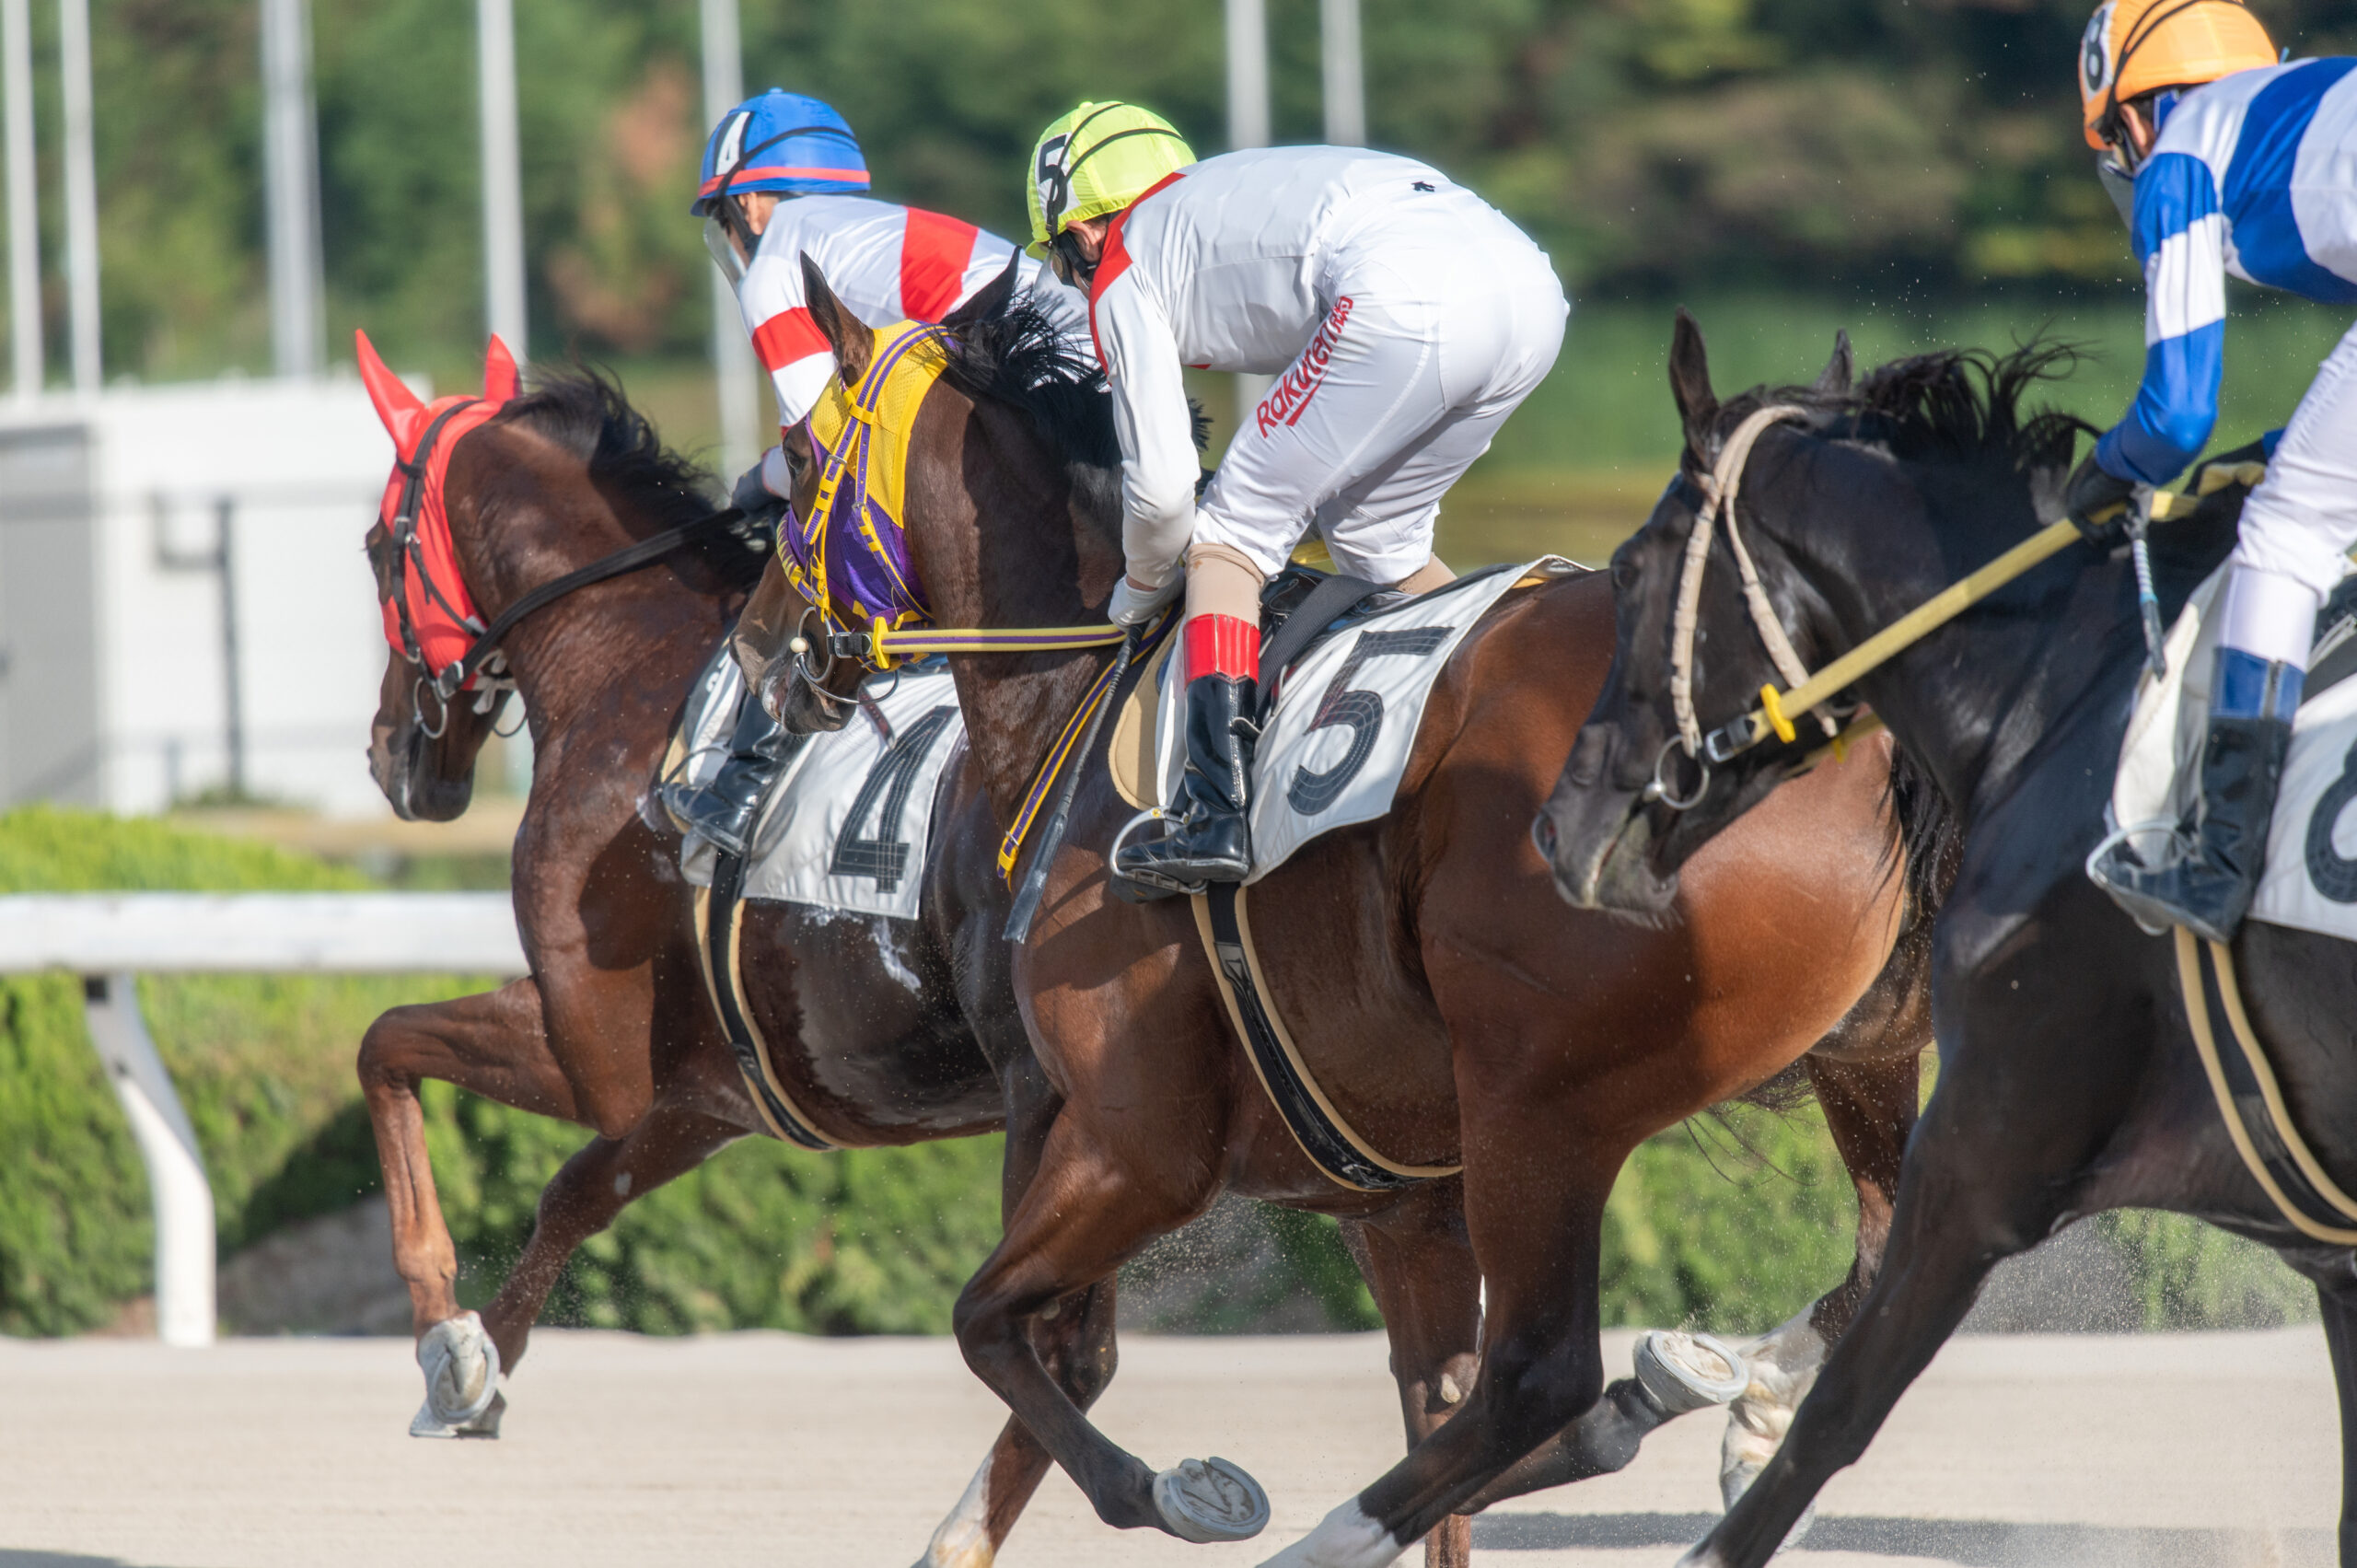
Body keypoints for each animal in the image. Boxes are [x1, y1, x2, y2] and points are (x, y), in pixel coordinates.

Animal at [733, 263, 1950, 1565]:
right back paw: (1727, 1394)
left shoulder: (1136, 1141)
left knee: (1540, 1371)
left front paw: (1178, 1490)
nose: (758, 644)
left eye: (800, 457)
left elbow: (995, 1325)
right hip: (1857, 1049)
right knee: (1878, 1258)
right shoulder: (1399, 1198)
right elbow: (1423, 1409)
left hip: (1536, 1102)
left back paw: (1348, 1526)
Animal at [1533, 313, 2357, 1567]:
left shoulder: (1989, 1146)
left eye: (1631, 569)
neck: (2062, 694)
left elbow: (1842, 1395)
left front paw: (1724, 1408)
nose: (1562, 823)